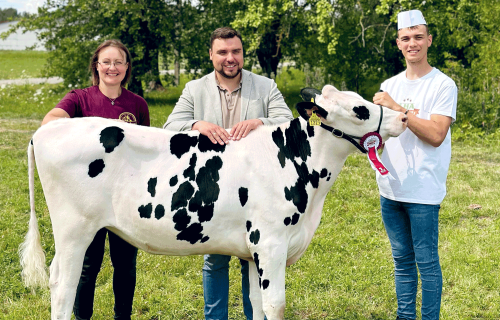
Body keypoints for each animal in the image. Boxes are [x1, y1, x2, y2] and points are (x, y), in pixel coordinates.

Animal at [21, 85, 408, 320]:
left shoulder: (254, 252)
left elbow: (257, 303)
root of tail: (45, 130)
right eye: (359, 109)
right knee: (64, 285)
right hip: (74, 230)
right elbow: (276, 304)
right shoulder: (271, 242)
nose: (404, 116)